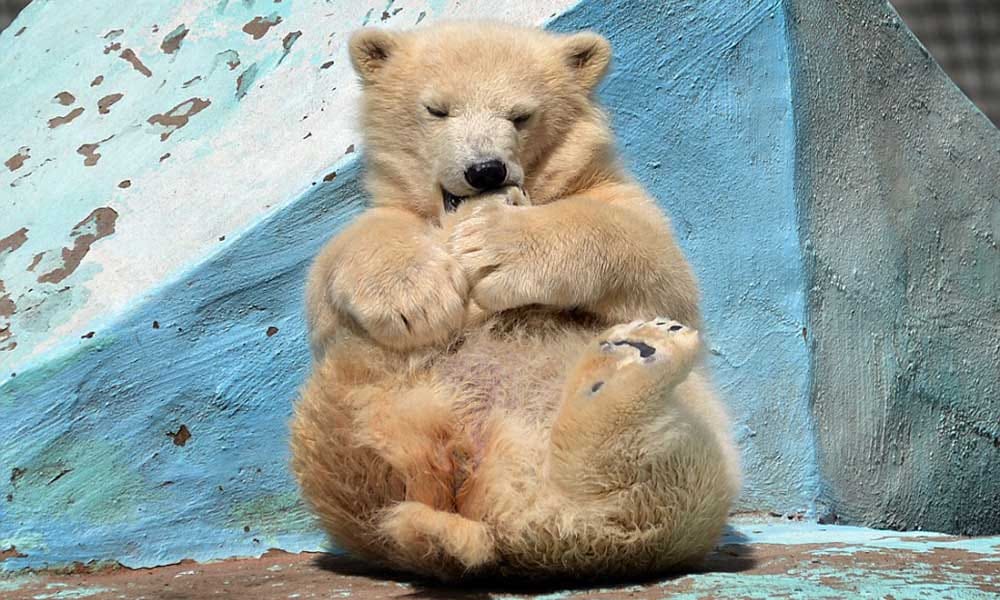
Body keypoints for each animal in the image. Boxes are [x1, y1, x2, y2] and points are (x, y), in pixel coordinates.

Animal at [290, 21, 741, 581]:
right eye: (436, 109)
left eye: (521, 115)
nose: (486, 170)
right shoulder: (389, 219)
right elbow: (339, 265)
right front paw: (418, 301)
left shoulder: (613, 193)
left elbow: (657, 262)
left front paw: (496, 245)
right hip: (361, 418)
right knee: (360, 455)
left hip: (687, 486)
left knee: (646, 492)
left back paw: (630, 363)